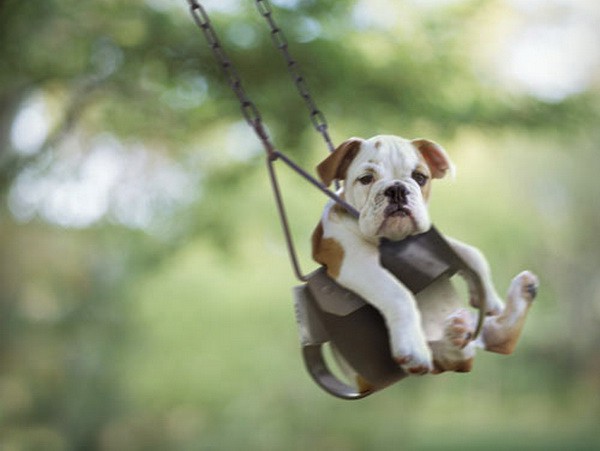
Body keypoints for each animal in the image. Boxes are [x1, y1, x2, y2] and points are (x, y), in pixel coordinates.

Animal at [314, 136, 540, 376]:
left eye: (420, 178)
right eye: (366, 179)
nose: (397, 189)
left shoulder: (432, 240)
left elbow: (473, 254)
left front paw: (489, 298)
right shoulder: (354, 260)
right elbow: (398, 294)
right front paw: (412, 347)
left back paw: (519, 295)